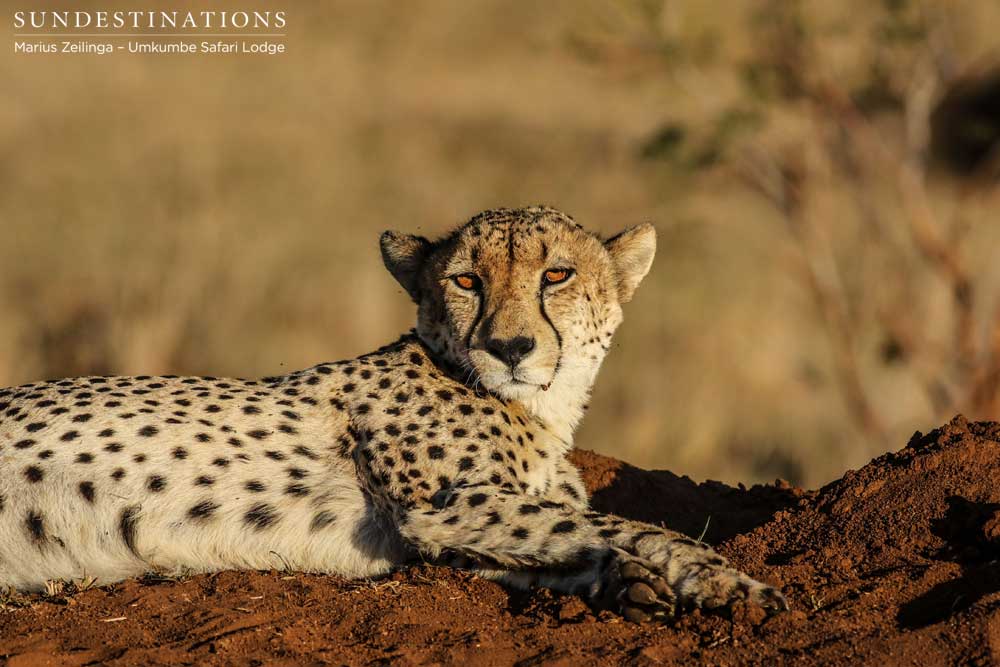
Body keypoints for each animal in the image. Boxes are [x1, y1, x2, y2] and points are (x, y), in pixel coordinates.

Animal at [0, 206, 786, 622]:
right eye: (466, 281)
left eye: (556, 275)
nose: (509, 347)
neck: (539, 408)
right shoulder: (444, 508)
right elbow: (628, 526)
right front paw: (728, 581)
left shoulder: (449, 534)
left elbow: (562, 545)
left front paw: (631, 583)